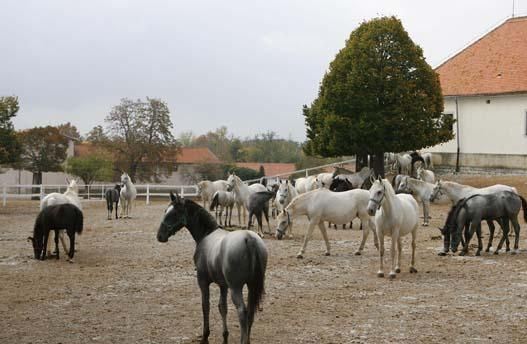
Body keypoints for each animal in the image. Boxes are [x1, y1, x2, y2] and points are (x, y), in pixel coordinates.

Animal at [156, 192, 266, 344]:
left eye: (174, 213)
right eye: (166, 211)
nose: (160, 236)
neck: (206, 234)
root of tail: (249, 238)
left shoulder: (203, 282)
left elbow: (205, 306)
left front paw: (205, 337)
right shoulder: (223, 285)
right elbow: (222, 307)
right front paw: (225, 336)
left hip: (236, 288)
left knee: (242, 312)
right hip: (251, 286)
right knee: (250, 311)